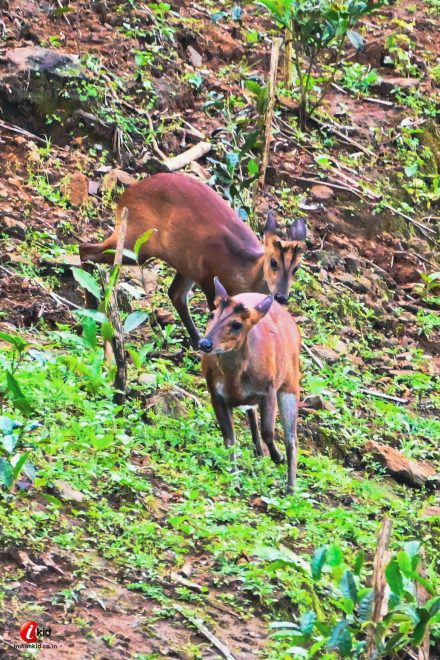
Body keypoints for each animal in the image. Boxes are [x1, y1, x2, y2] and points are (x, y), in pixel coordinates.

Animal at [79, 173, 307, 347]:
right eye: (273, 262)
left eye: (296, 269)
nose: (281, 296)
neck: (244, 271)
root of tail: (125, 196)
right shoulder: (207, 272)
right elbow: (215, 311)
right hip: (137, 245)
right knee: (85, 249)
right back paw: (91, 309)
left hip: (181, 261)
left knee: (175, 294)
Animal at [199, 277, 301, 492]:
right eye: (213, 314)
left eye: (237, 324)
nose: (205, 343)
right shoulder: (215, 394)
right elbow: (229, 438)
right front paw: (234, 480)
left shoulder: (269, 389)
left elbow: (268, 432)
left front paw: (277, 457)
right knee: (252, 413)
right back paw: (259, 454)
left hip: (290, 383)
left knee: (291, 438)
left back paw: (290, 487)